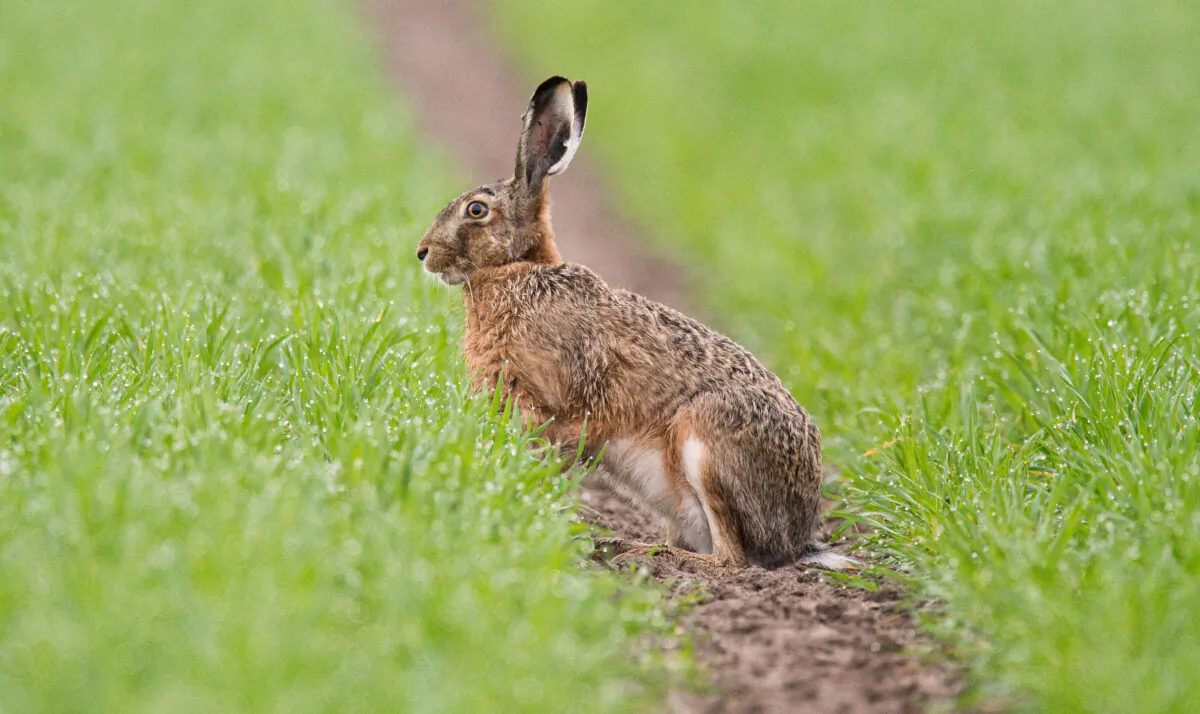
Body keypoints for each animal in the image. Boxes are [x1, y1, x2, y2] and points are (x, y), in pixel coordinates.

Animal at [416, 76, 851, 570]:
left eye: (476, 211)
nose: (422, 252)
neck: (517, 269)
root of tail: (796, 538)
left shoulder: (556, 402)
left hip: (706, 440)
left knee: (729, 559)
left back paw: (639, 551)